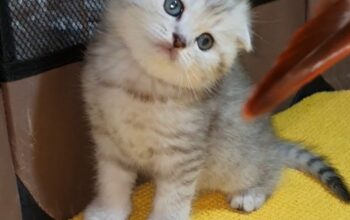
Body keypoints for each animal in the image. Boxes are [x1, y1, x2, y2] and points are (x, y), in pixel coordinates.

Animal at [82, 0, 350, 220]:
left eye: (205, 42)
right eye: (173, 6)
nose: (179, 41)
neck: (140, 88)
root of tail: (272, 142)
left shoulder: (184, 154)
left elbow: (173, 198)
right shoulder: (109, 141)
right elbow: (112, 181)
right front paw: (108, 212)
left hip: (240, 161)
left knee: (272, 170)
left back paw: (251, 192)